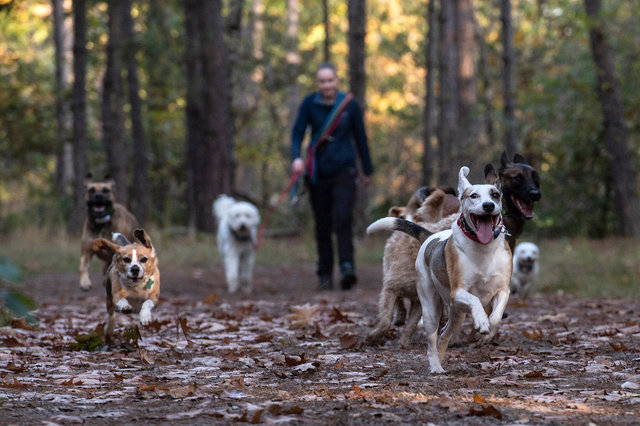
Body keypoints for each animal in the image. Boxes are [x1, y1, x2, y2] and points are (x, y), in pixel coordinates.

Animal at [368, 166, 512, 372]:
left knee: (444, 334)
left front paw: (486, 327)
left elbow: (496, 315)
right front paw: (481, 320)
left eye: (495, 195)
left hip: (456, 314)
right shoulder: (458, 292)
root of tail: (431, 235)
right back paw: (435, 366)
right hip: (430, 308)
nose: (488, 206)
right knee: (432, 339)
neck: (484, 249)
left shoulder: (503, 289)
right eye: (473, 195)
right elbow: (475, 299)